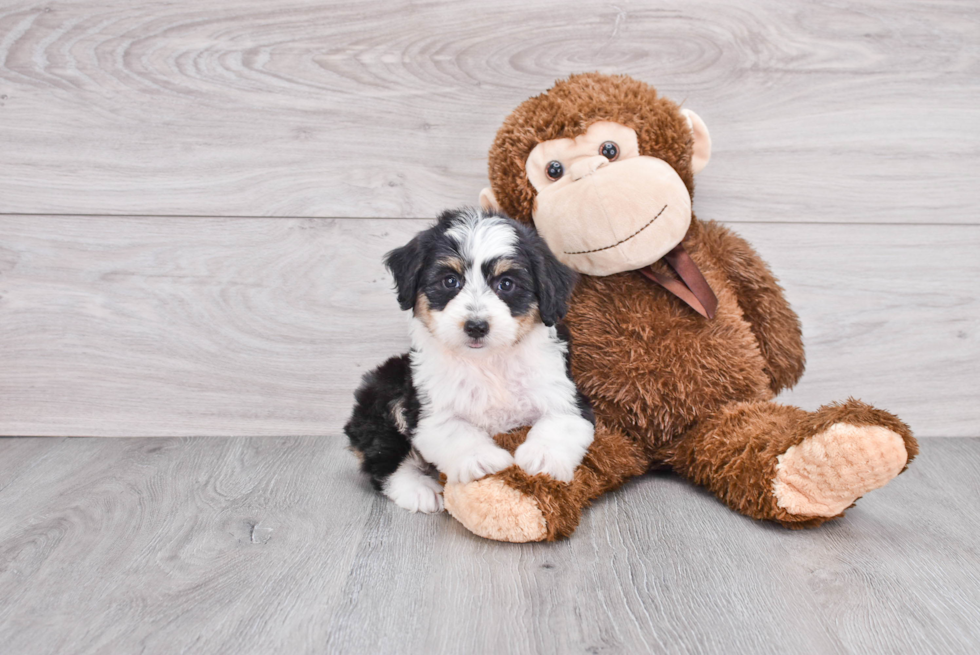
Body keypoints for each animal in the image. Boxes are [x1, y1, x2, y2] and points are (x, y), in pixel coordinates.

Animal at [342, 208, 596, 516]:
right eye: (450, 281)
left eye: (506, 284)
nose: (476, 326)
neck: (488, 362)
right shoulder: (429, 408)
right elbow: (456, 431)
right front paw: (481, 459)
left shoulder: (565, 395)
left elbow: (561, 423)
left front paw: (542, 457)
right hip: (385, 392)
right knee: (383, 457)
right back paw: (419, 489)